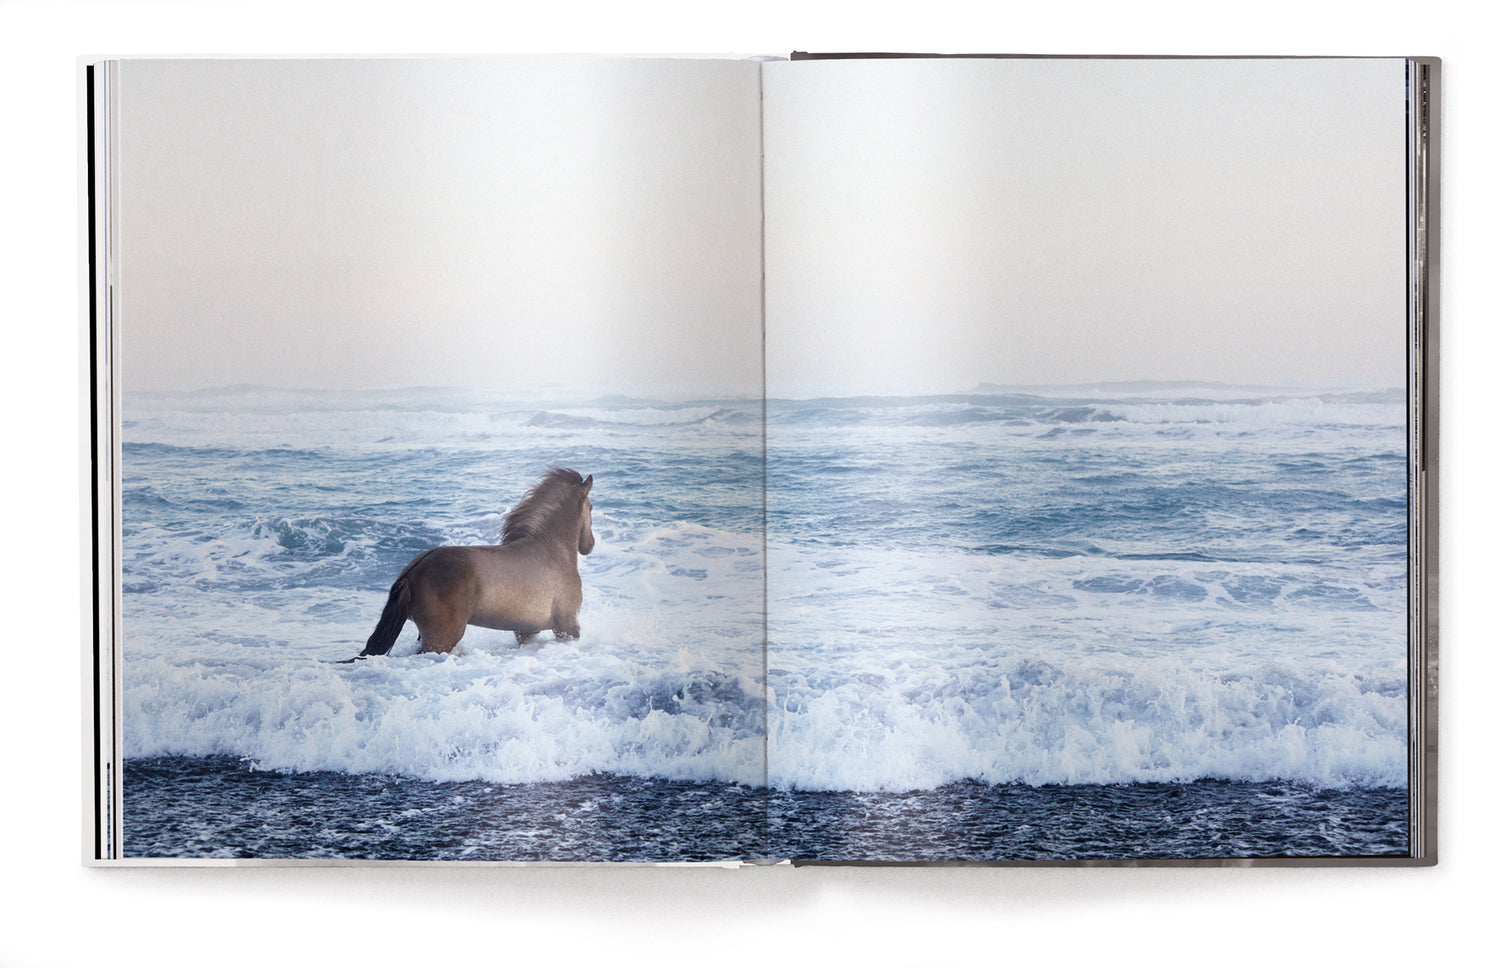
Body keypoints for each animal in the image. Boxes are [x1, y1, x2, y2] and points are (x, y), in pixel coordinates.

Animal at [353, 468, 595, 658]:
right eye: (591, 508)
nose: (589, 545)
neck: (550, 551)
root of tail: (410, 574)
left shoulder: (525, 631)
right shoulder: (567, 625)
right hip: (442, 639)